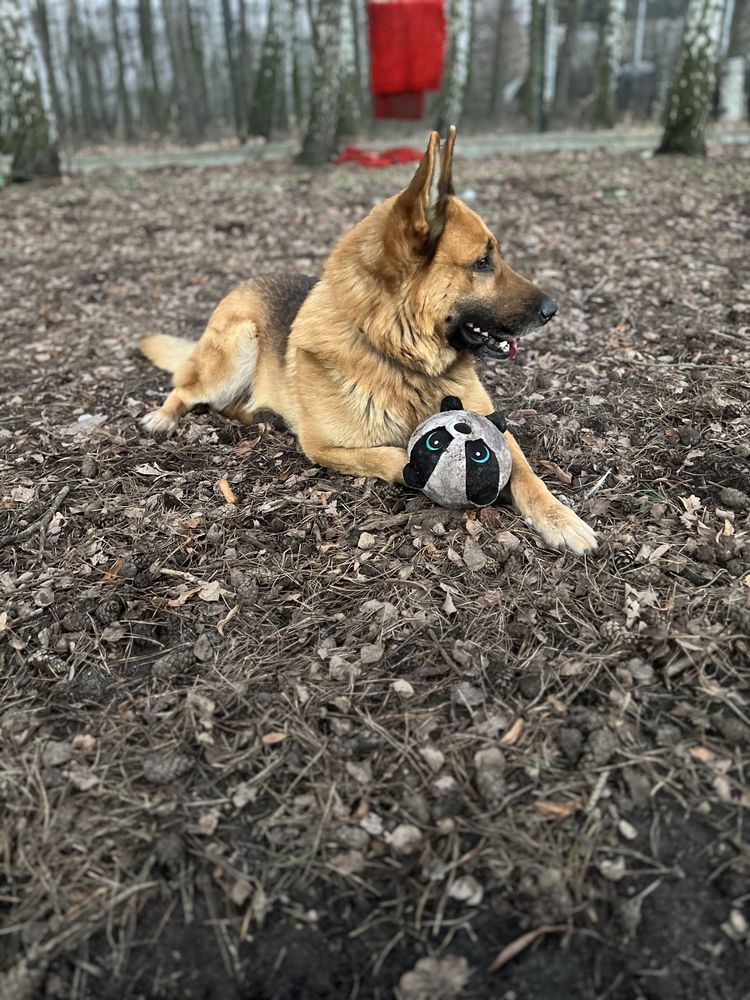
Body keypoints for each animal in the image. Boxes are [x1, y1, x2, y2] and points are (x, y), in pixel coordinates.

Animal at [140, 127, 600, 556]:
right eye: (483, 262)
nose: (553, 308)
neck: (397, 356)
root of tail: (245, 283)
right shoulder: (324, 446)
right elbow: (390, 455)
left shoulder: (494, 426)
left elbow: (525, 471)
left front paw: (562, 519)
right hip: (239, 343)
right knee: (187, 390)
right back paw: (163, 417)